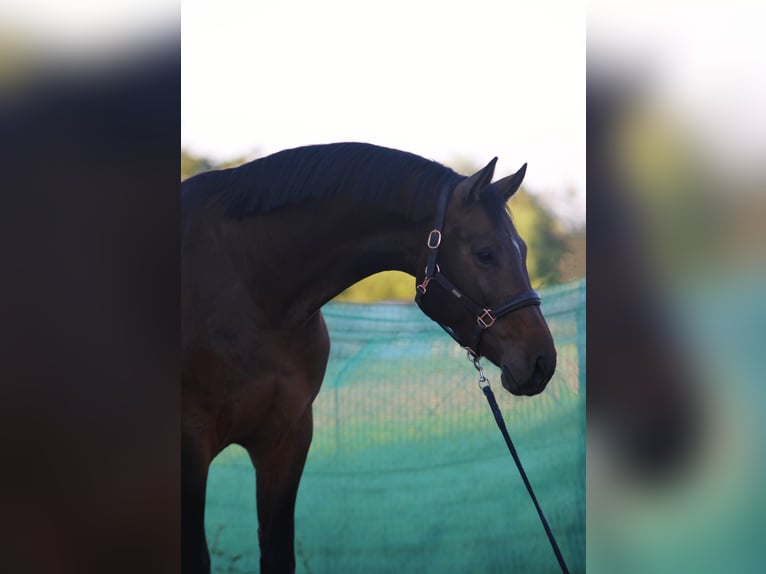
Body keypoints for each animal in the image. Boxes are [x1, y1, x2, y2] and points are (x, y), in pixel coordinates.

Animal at [184, 142, 560, 572]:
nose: (542, 361)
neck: (251, 290)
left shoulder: (285, 442)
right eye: (485, 253)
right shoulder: (191, 448)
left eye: (523, 250)